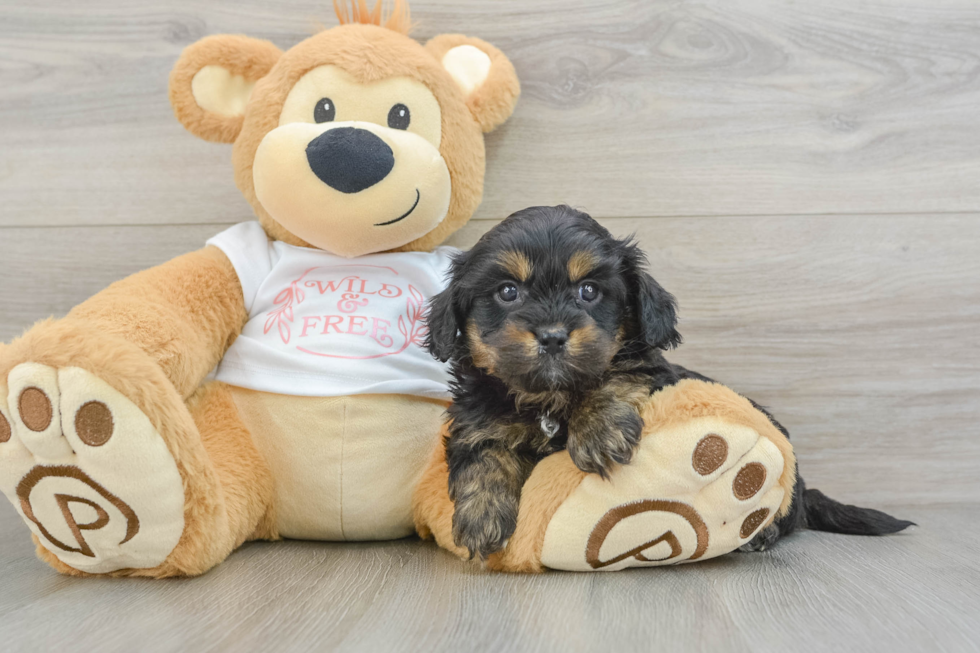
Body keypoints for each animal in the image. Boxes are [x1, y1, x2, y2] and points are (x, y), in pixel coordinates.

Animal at [424, 205, 916, 560]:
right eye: (508, 292)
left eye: (589, 291)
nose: (551, 335)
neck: (548, 398)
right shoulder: (476, 419)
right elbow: (483, 454)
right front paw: (481, 516)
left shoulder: (650, 371)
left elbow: (617, 373)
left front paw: (598, 430)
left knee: (787, 511)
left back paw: (763, 532)